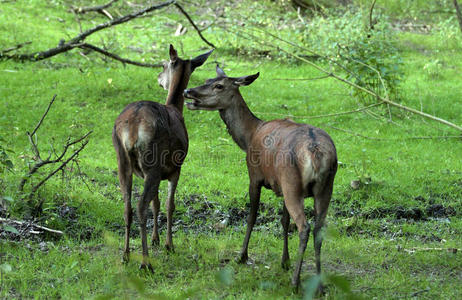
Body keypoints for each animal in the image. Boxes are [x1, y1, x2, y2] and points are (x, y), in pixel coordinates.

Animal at [112, 45, 213, 272]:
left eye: (163, 65)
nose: (159, 78)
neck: (176, 108)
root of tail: (133, 127)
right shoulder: (176, 168)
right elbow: (169, 204)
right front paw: (168, 244)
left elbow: (156, 203)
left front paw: (155, 239)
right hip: (153, 161)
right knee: (140, 206)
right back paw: (145, 262)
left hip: (122, 159)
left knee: (127, 206)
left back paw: (125, 255)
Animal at [182, 65, 338, 288]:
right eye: (206, 79)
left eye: (219, 86)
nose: (188, 91)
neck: (248, 137)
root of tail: (316, 153)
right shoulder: (281, 186)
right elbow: (283, 221)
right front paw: (284, 261)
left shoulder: (254, 176)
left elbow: (252, 216)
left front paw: (242, 256)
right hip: (323, 187)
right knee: (318, 229)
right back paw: (319, 283)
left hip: (292, 182)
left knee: (304, 227)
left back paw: (296, 282)